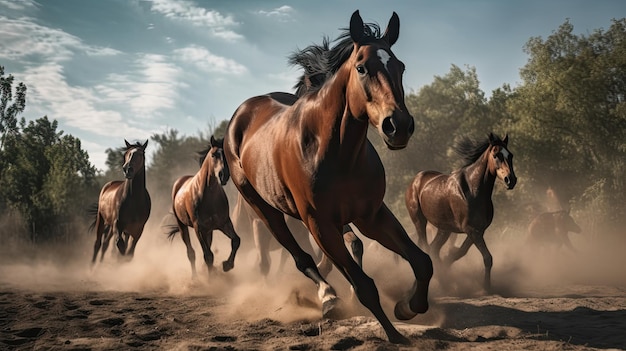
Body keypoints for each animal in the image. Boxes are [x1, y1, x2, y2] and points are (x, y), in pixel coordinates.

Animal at [163, 136, 239, 280]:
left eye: (226, 154)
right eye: (213, 155)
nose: (223, 175)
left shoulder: (224, 224)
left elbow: (236, 241)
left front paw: (227, 265)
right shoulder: (199, 228)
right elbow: (208, 255)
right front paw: (210, 280)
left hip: (209, 231)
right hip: (183, 226)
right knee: (191, 252)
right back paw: (195, 278)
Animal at [219, 9, 428, 346]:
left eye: (401, 66)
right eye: (361, 68)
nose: (398, 125)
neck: (338, 153)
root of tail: (244, 110)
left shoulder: (370, 215)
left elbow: (422, 261)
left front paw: (408, 306)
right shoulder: (320, 222)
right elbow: (364, 285)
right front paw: (394, 334)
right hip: (263, 209)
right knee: (299, 257)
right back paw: (327, 296)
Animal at [402, 133, 516, 292]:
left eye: (510, 155)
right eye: (496, 155)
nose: (510, 180)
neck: (474, 190)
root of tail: (415, 180)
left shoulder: (478, 230)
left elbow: (460, 252)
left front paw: (448, 265)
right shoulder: (471, 230)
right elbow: (487, 257)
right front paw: (486, 287)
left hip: (444, 229)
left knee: (434, 249)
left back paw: (444, 283)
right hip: (419, 221)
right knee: (426, 248)